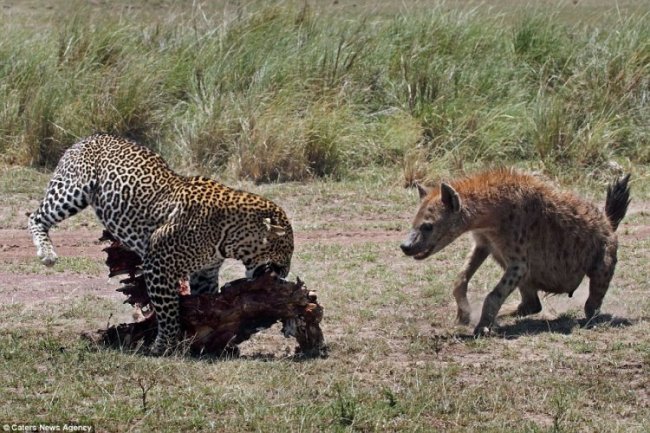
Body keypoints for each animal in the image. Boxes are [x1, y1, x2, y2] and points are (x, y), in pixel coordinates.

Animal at [29, 133, 292, 352]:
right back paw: (47, 253)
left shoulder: (205, 273)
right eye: (287, 252)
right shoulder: (159, 265)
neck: (229, 235)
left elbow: (206, 304)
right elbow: (168, 312)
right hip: (72, 191)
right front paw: (163, 345)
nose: (286, 273)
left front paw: (204, 338)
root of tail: (88, 137)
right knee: (36, 216)